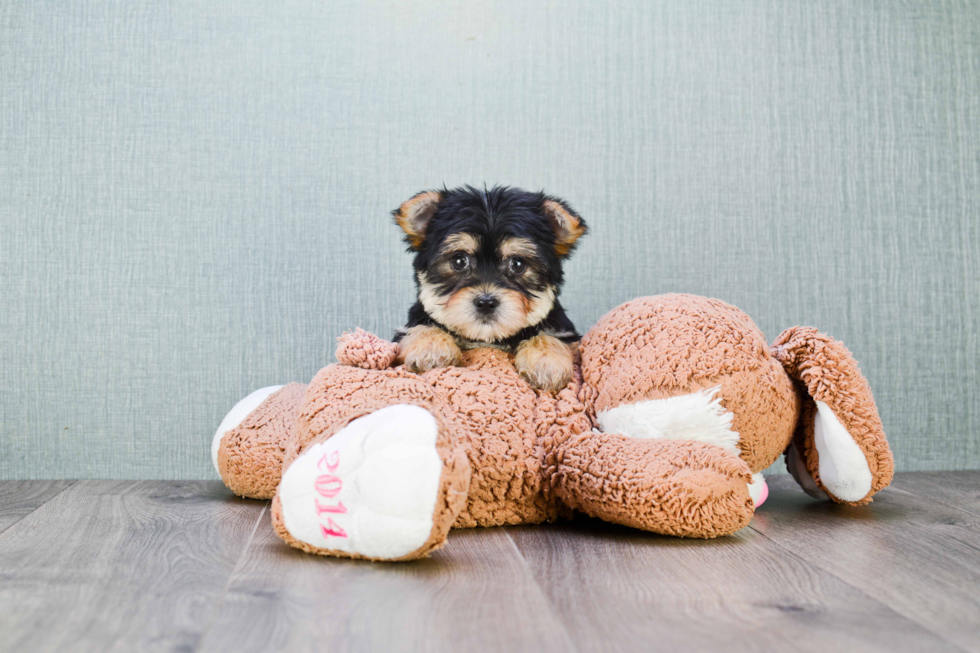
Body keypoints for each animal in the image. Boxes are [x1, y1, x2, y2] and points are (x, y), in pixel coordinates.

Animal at [390, 183, 588, 390]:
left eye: (518, 264)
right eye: (459, 261)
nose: (486, 302)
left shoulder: (565, 332)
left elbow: (550, 335)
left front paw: (547, 361)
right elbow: (422, 326)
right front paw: (431, 348)